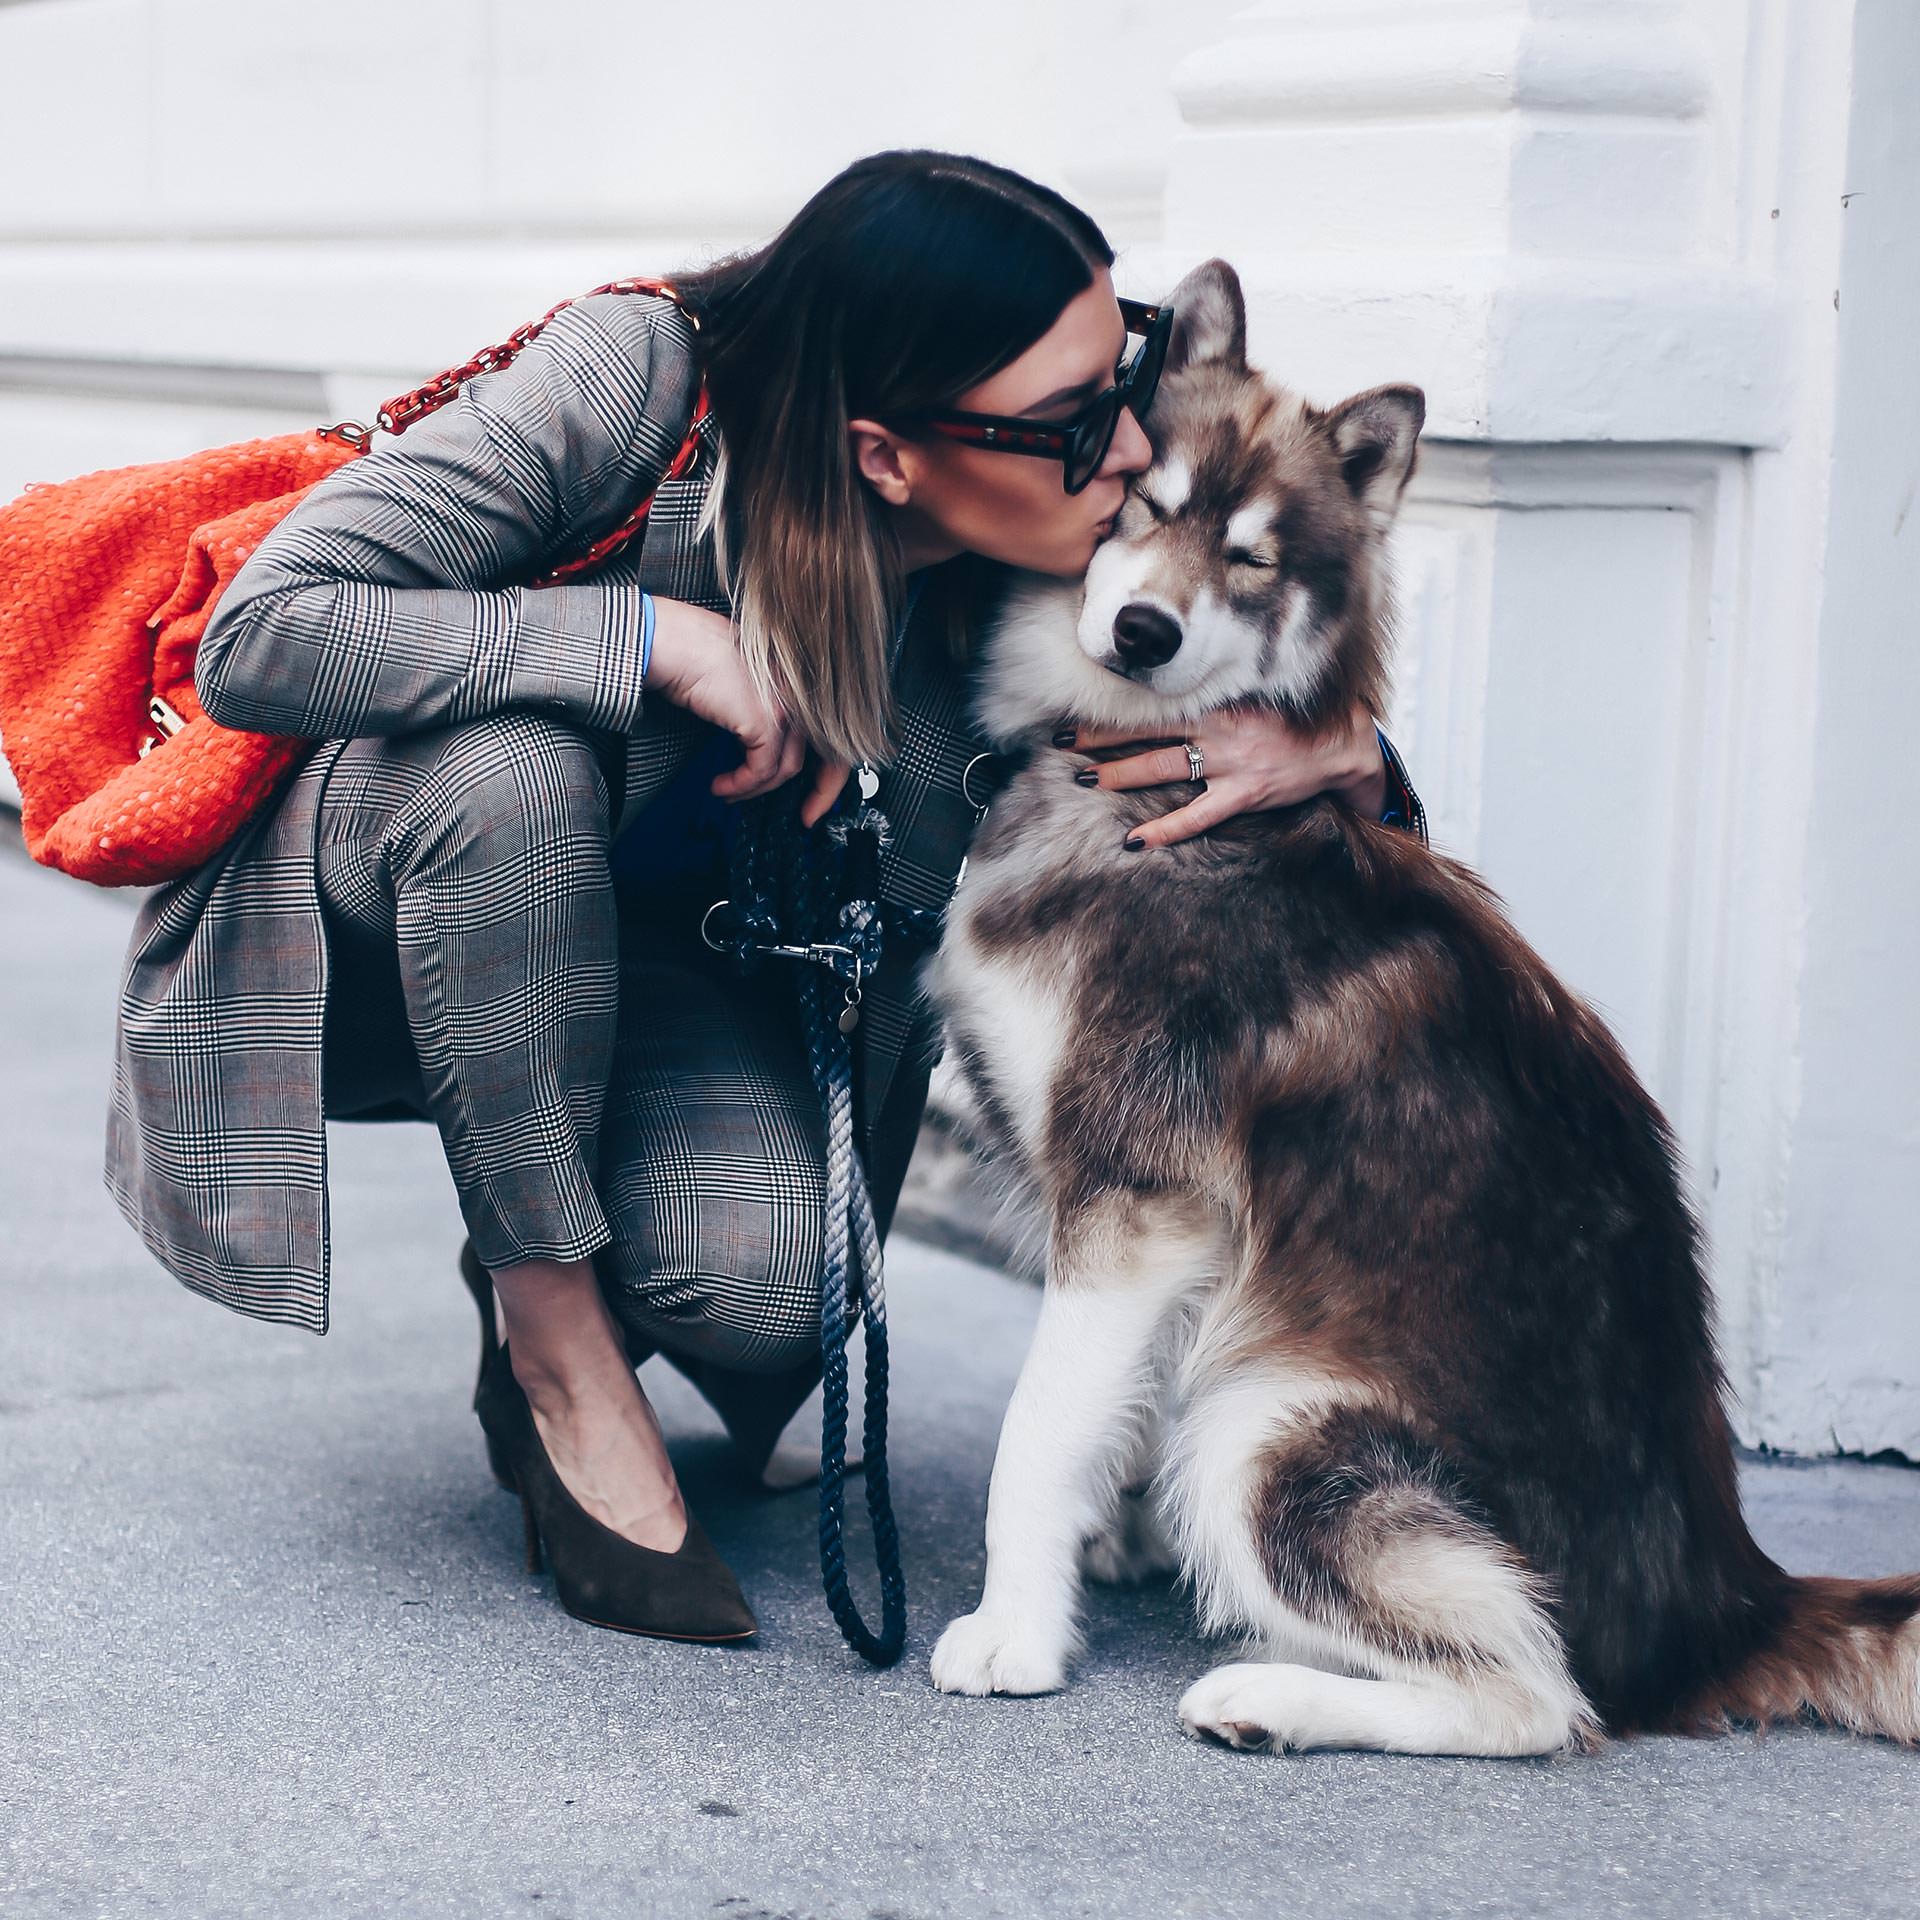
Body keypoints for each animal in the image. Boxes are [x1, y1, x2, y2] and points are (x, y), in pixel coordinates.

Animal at [921, 263, 1912, 1758]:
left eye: (1254, 559)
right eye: (1140, 501)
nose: (1146, 630)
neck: (1142, 783)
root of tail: (1725, 1603)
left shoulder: (1135, 1195)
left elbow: (1038, 1430)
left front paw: (1020, 1633)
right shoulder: (1142, 1233)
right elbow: (1108, 1405)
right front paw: (1113, 1537)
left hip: (1272, 1424)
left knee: (1538, 1697)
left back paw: (1269, 1695)